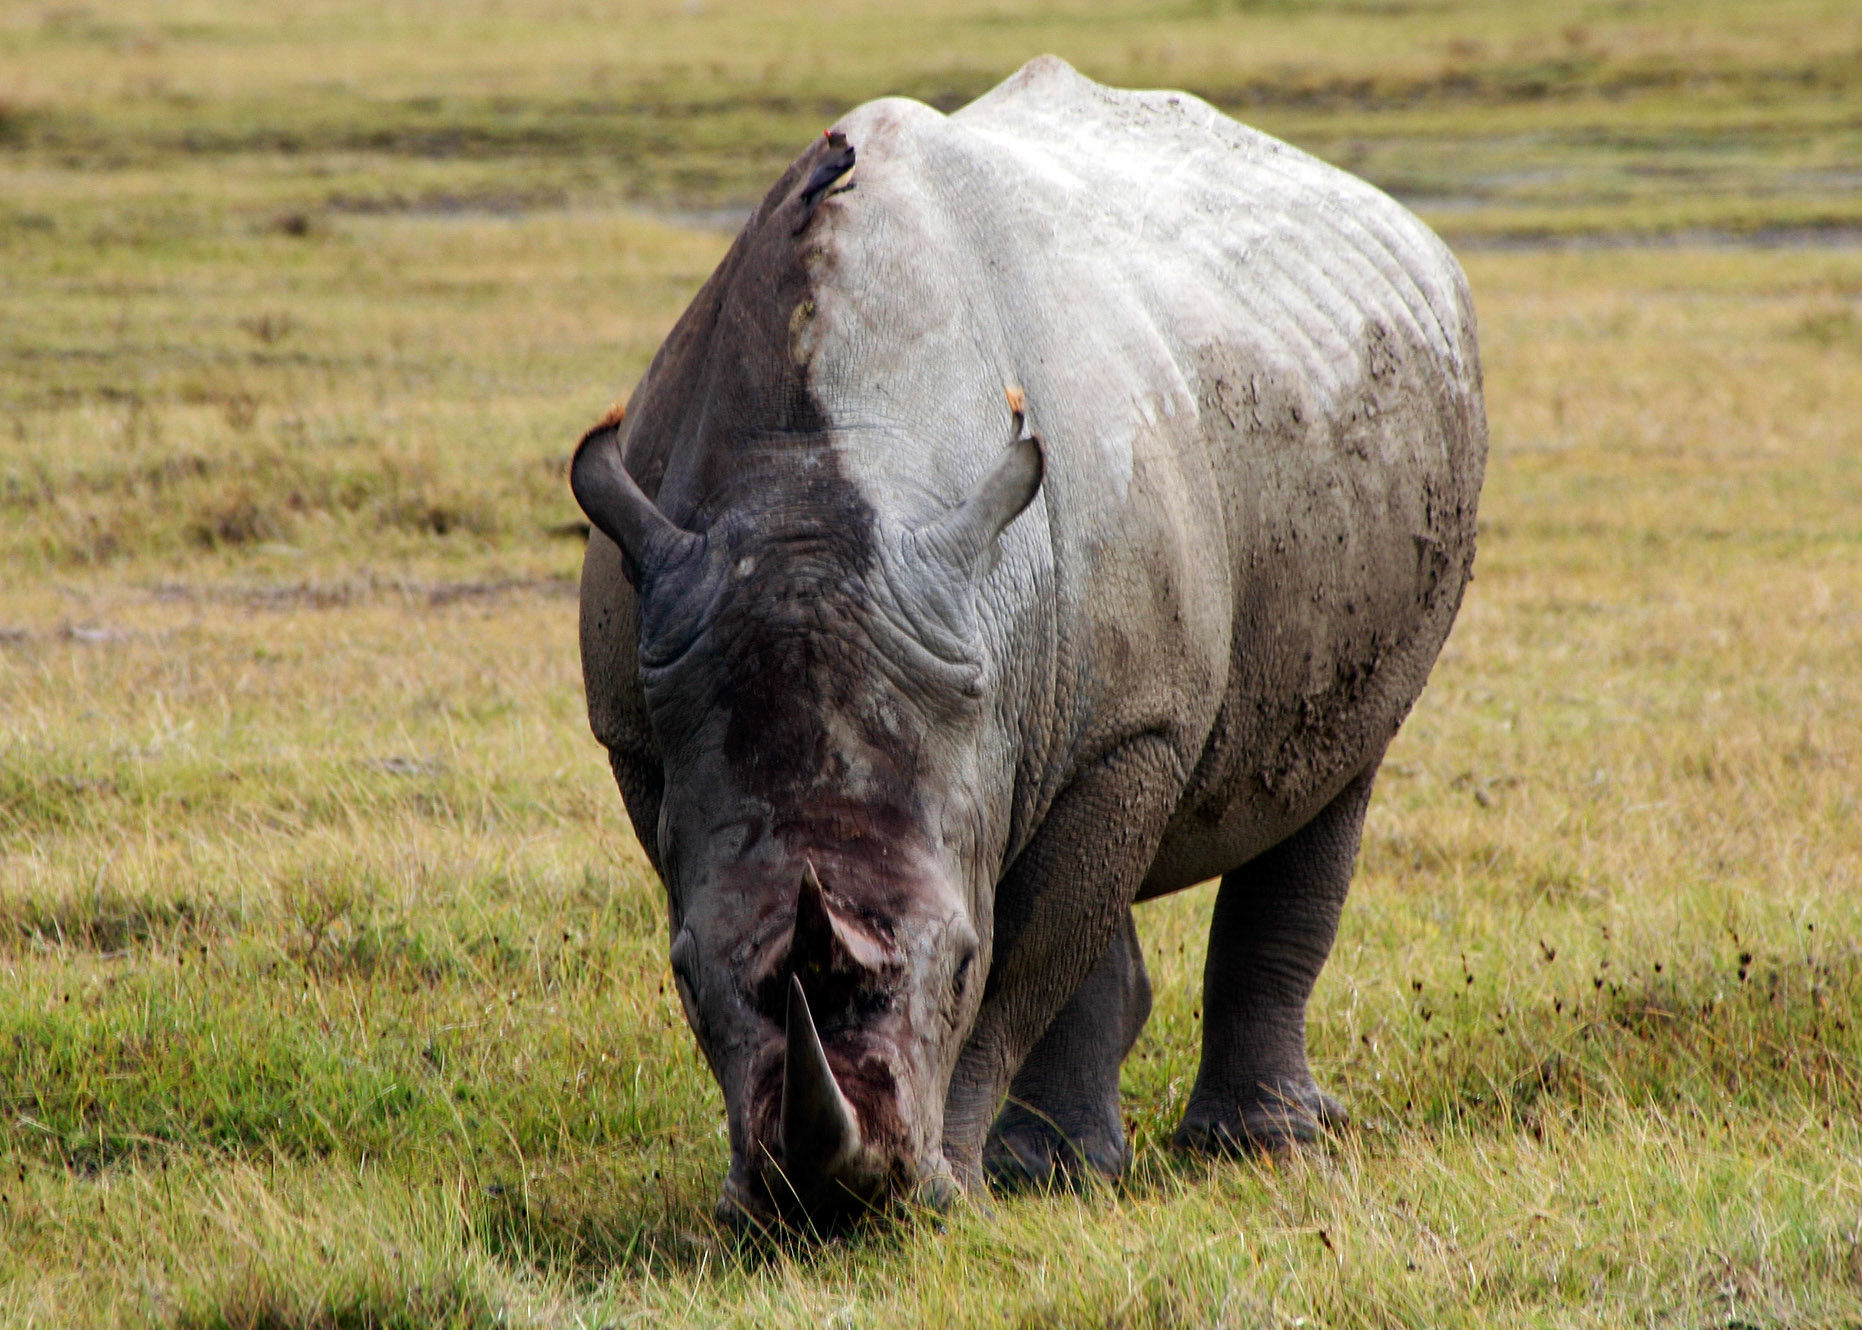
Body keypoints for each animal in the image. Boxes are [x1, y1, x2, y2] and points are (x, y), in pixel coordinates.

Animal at [571, 55, 1485, 1227]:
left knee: (1333, 774)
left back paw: (1259, 1146)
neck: (817, 468)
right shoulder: (642, 723)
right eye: (678, 976)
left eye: (958, 965)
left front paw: (970, 1191)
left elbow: (1025, 964)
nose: (829, 1208)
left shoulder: (1132, 728)